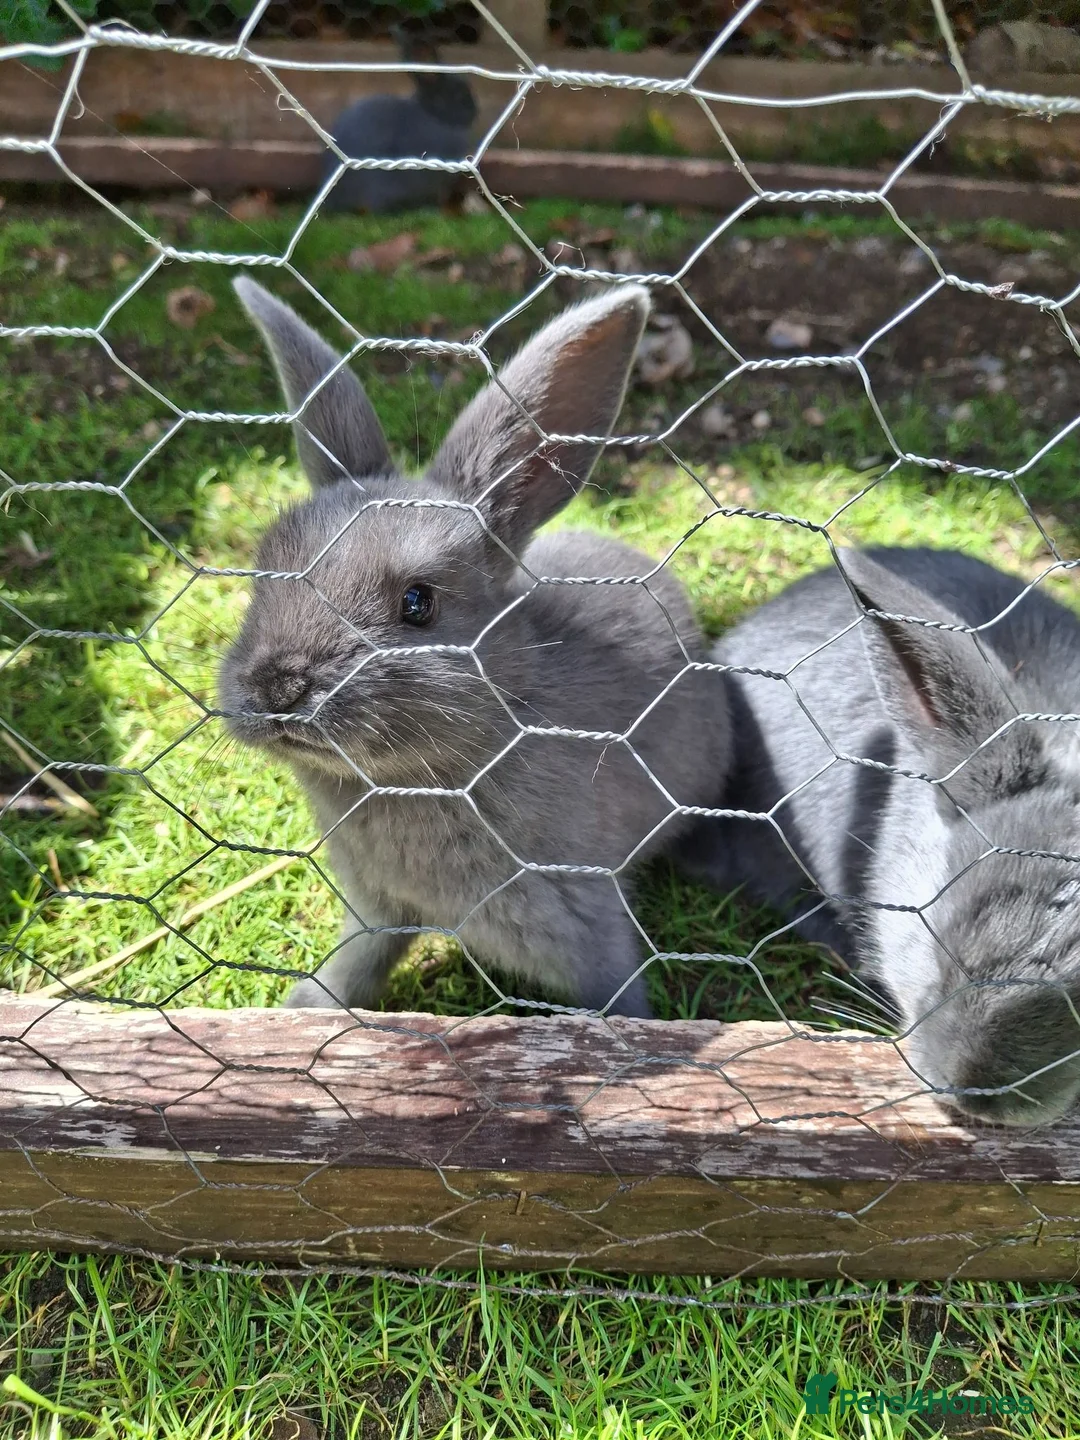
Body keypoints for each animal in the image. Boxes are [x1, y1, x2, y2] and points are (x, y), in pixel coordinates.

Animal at [219, 277, 732, 1018]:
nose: (276, 688)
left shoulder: (581, 924)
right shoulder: (377, 911)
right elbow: (359, 965)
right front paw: (307, 1010)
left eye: (418, 603)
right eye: (264, 571)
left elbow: (615, 1002)